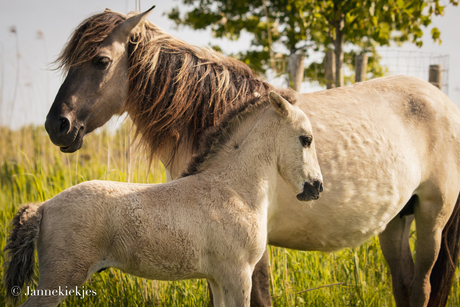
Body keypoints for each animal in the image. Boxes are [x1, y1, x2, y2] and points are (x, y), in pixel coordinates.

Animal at [45, 7, 460, 307]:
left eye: (100, 60)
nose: (57, 125)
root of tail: (442, 100)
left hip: (432, 217)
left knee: (422, 285)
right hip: (395, 221)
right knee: (403, 284)